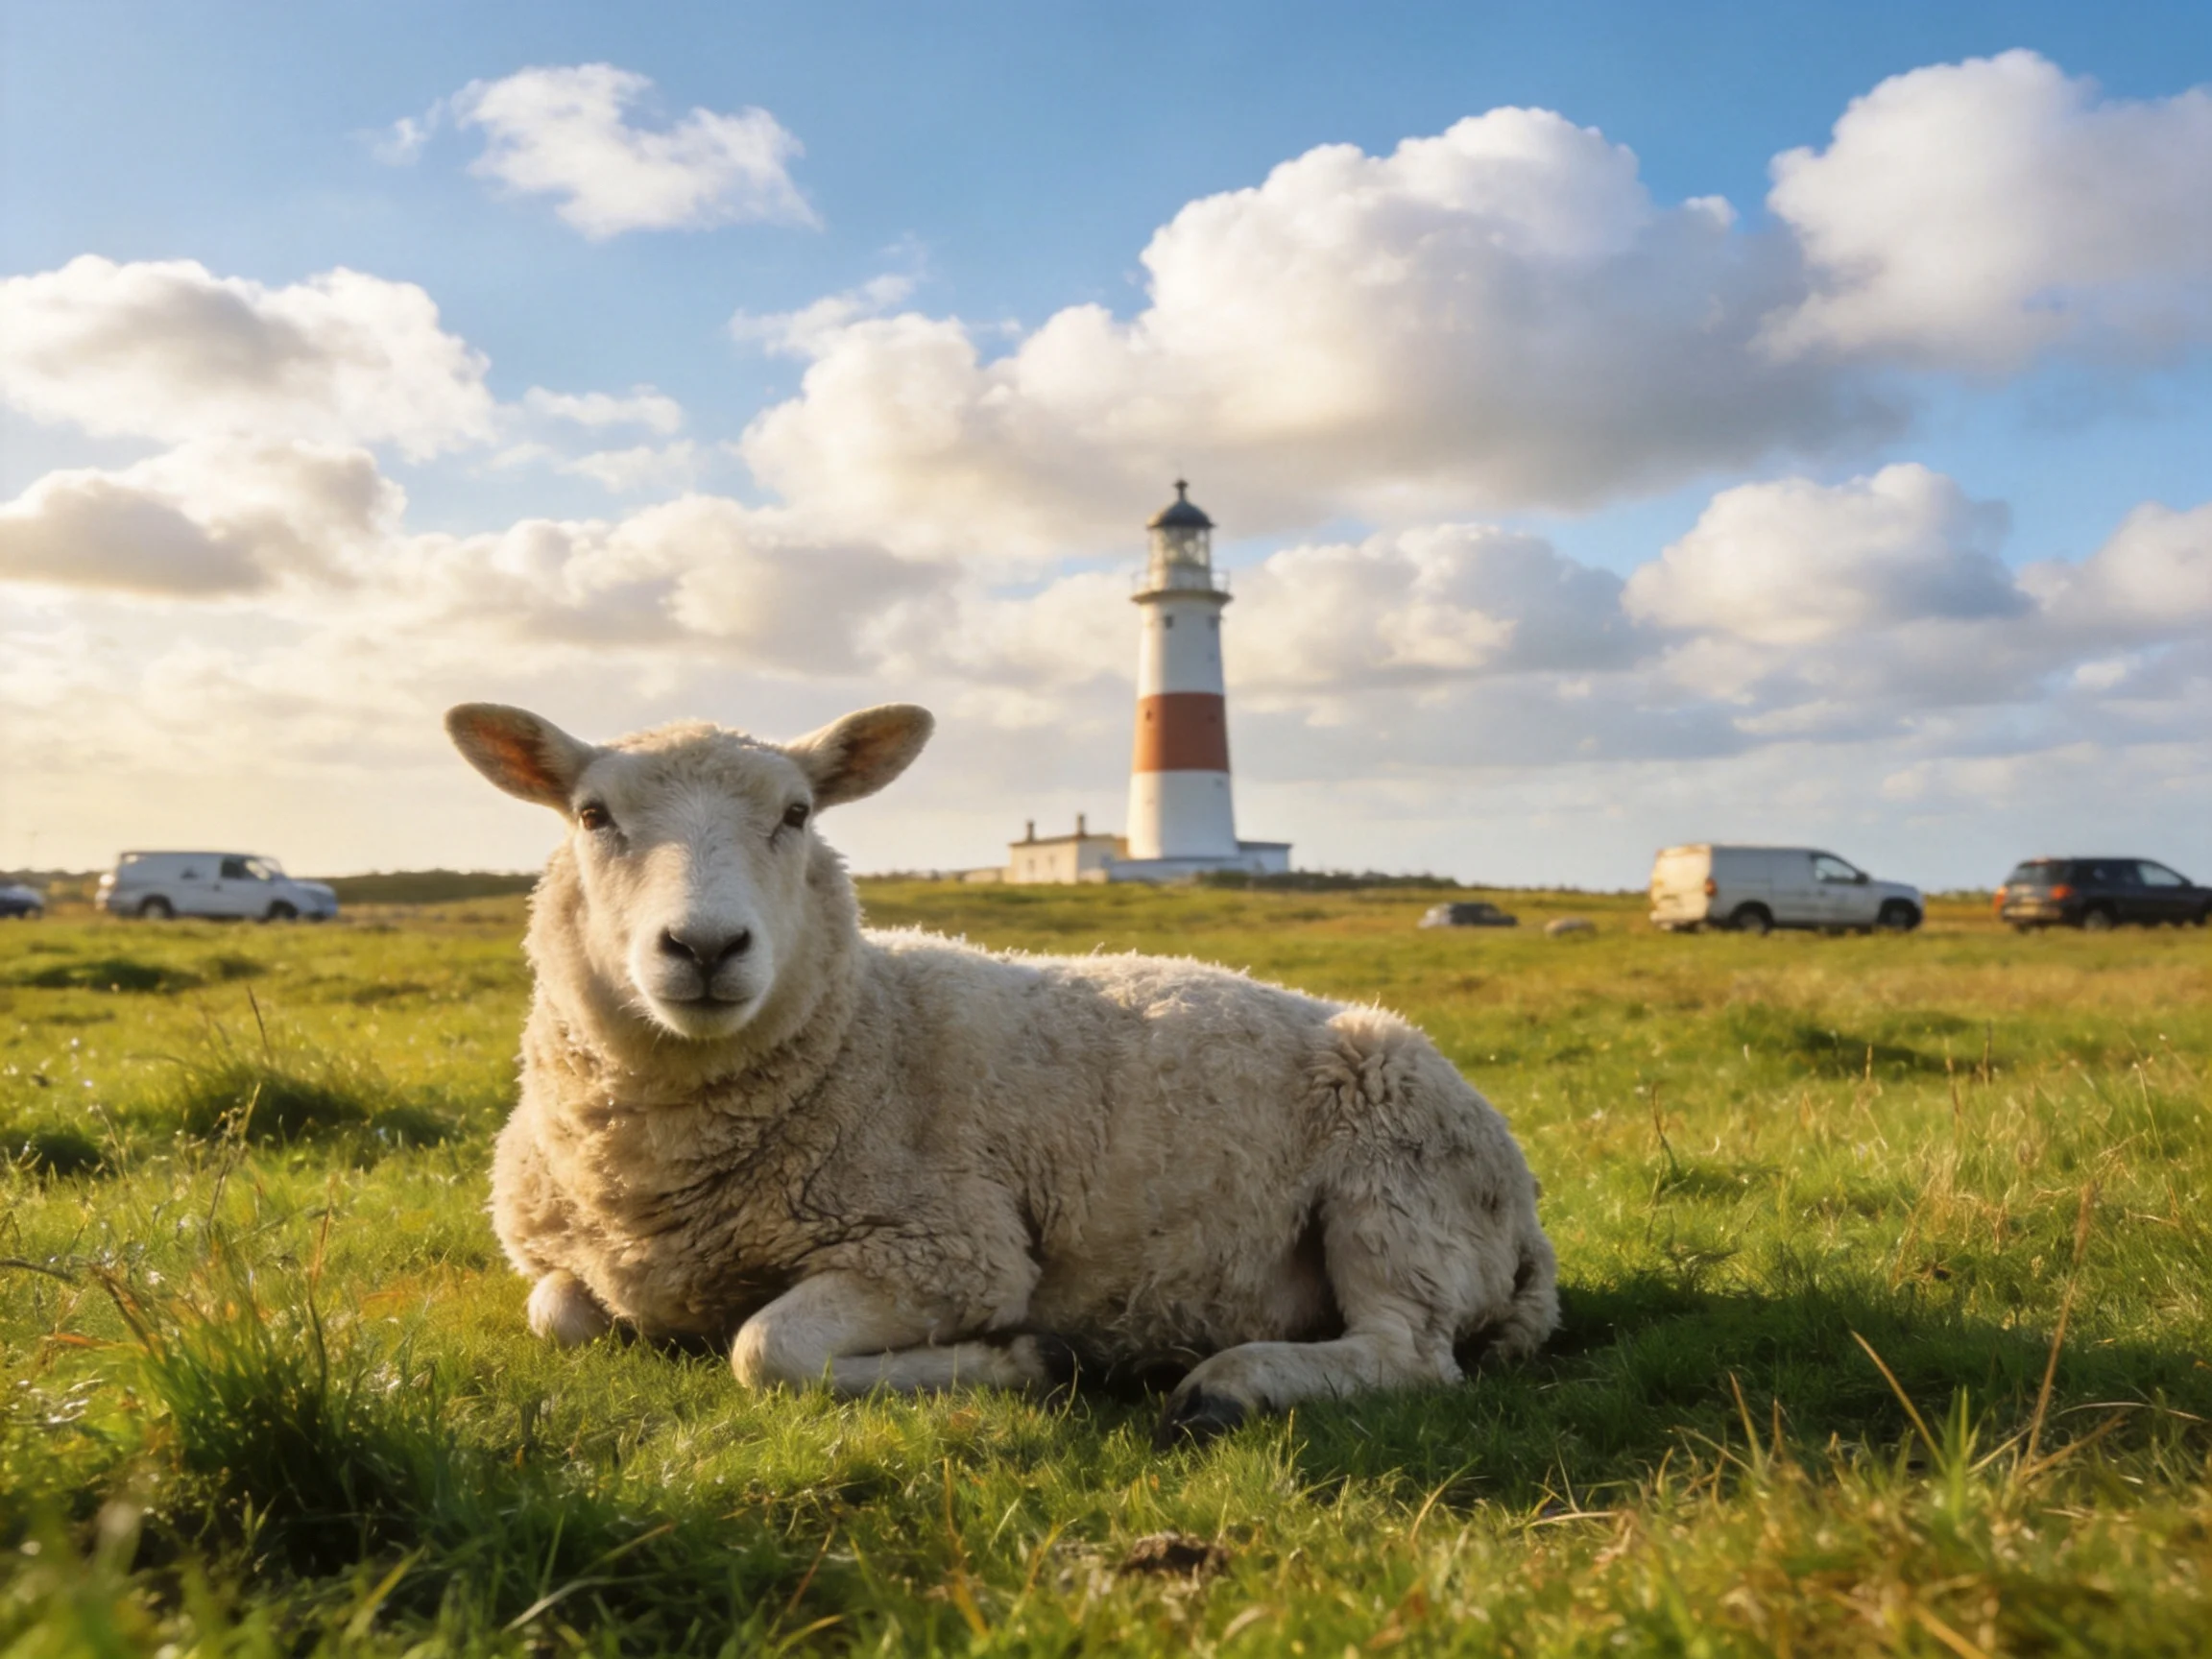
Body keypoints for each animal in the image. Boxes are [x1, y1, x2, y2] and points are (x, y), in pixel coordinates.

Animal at [446, 700, 1558, 1445]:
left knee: (1409, 1352)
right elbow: (559, 1316)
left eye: (798, 813)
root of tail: (1528, 1221)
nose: (707, 947)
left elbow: (766, 1349)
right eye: (592, 815)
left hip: (1399, 1183)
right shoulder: (564, 1260)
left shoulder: (951, 1252)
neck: (862, 1027)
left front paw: (1018, 1360)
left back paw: (1228, 1385)